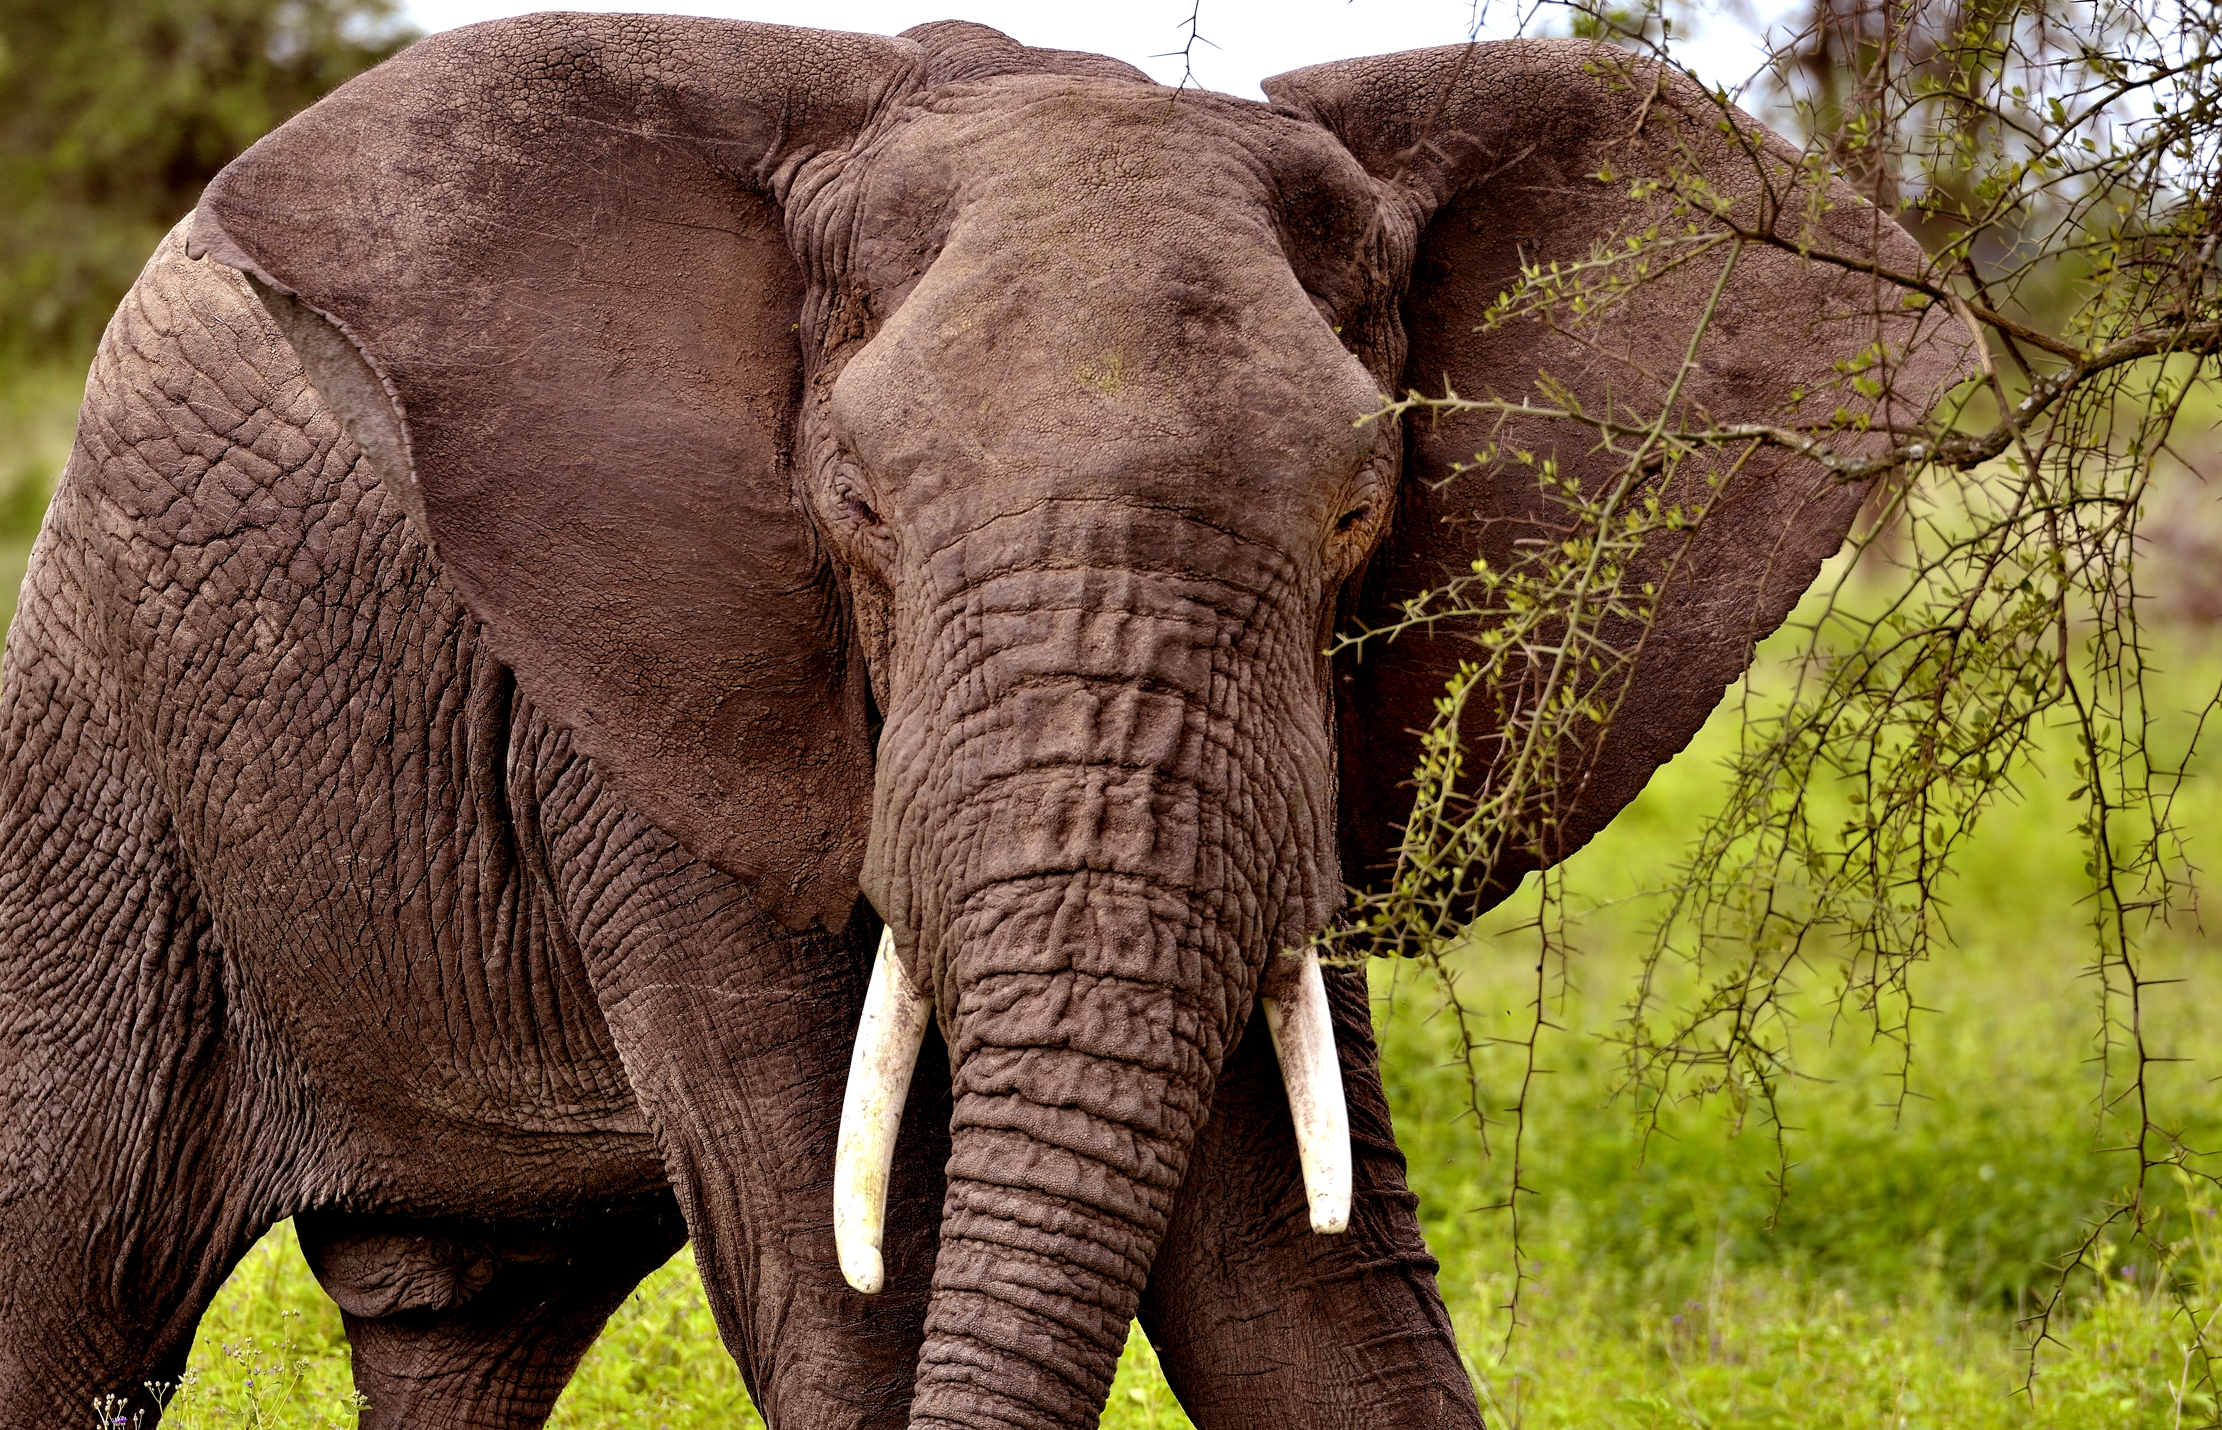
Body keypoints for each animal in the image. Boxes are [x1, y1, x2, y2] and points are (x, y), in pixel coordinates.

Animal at [0, 15, 1957, 1429]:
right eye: (855, 506)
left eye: (1358, 510)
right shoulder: (665, 696)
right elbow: (853, 1299)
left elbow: (1303, 1303)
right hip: (100, 763)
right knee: (60, 1282)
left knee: (461, 1321)